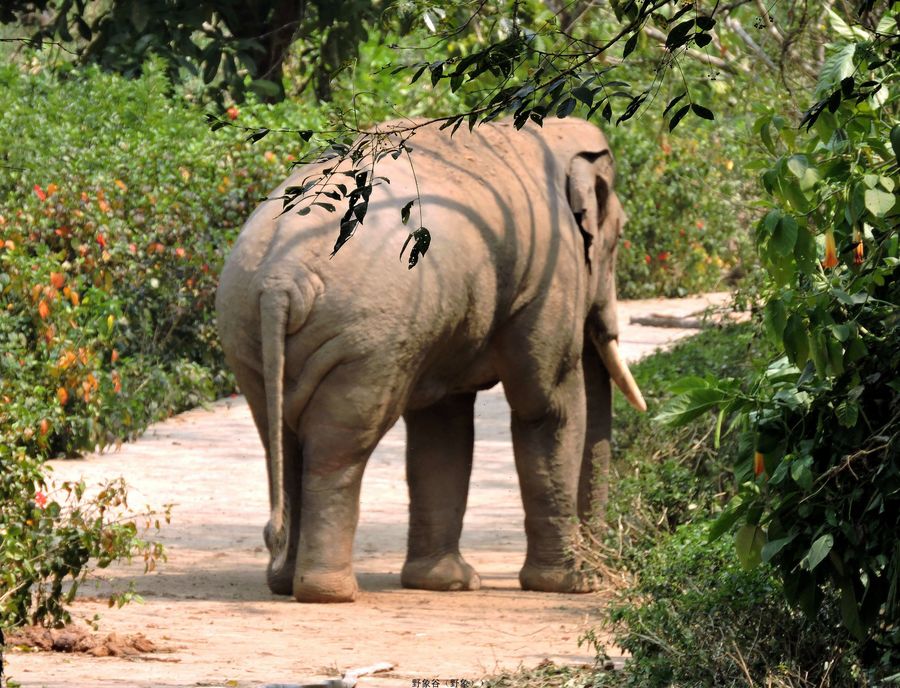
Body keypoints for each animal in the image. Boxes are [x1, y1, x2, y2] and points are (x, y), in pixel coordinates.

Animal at [214, 115, 644, 600]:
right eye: (619, 236)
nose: (603, 569)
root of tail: (280, 282)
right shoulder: (551, 274)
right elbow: (546, 406)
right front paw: (571, 585)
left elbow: (442, 426)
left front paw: (446, 583)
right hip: (364, 339)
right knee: (339, 448)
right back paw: (330, 593)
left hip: (246, 332)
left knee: (282, 441)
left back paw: (286, 582)